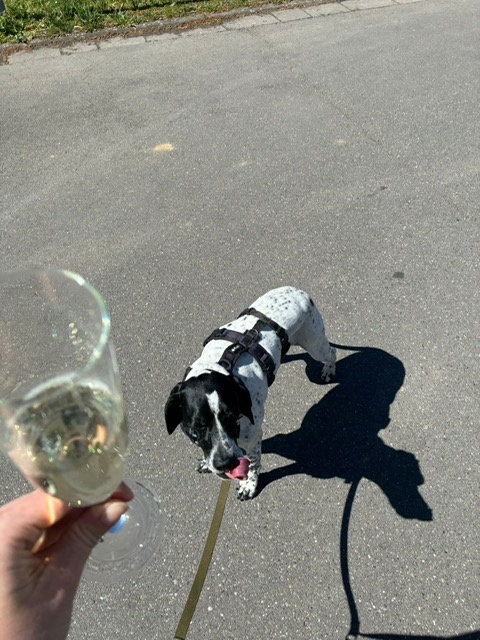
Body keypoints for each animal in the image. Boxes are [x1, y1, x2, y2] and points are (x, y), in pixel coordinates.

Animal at [164, 286, 336, 500]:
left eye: (231, 417)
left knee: (331, 352)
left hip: (315, 344)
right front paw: (207, 462)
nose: (226, 464)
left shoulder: (253, 438)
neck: (220, 366)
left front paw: (249, 485)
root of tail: (298, 291)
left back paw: (329, 370)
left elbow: (254, 464)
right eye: (198, 425)